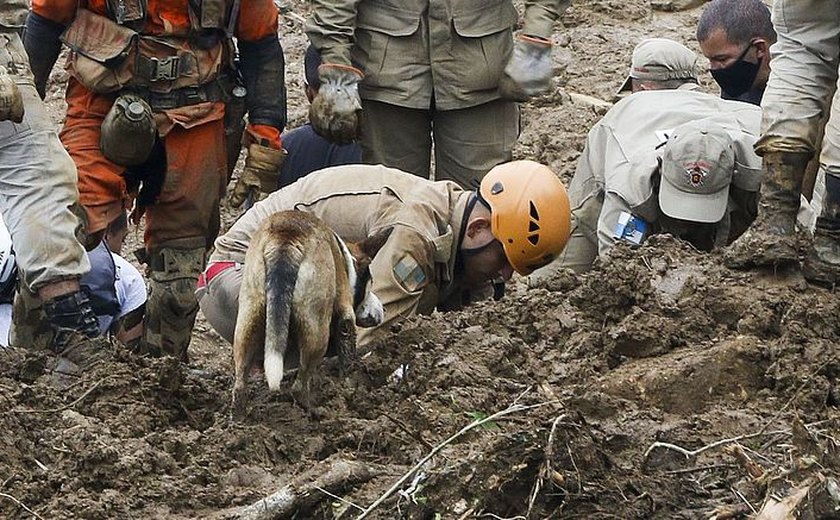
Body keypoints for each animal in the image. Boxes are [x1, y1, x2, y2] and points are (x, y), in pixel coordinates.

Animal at [231, 210, 392, 410]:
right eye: (370, 285)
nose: (383, 309)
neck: (346, 260)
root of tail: (286, 240)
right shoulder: (345, 316)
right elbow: (347, 352)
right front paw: (348, 383)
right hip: (317, 332)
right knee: (299, 387)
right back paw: (314, 410)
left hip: (248, 319)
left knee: (239, 386)